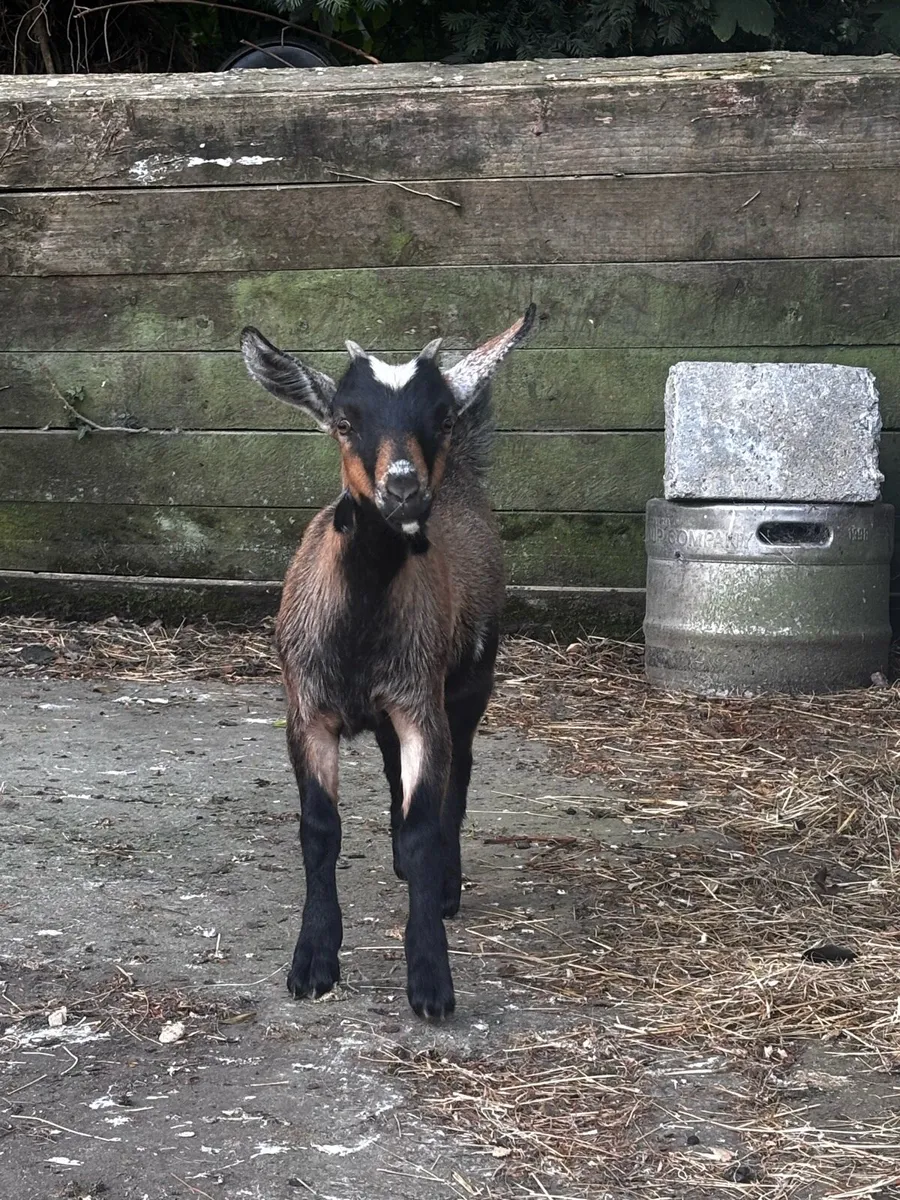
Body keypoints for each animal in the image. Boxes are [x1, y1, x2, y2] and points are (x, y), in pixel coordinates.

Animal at [240, 306, 536, 1019]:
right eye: (345, 421)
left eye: (443, 417)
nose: (403, 489)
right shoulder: (307, 711)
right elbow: (319, 829)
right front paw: (313, 961)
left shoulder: (420, 706)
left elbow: (427, 824)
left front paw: (430, 977)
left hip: (469, 679)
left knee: (459, 772)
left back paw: (446, 882)